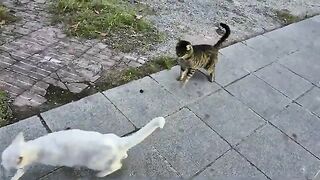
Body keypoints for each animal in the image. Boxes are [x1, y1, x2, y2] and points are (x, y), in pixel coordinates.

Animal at [0, 116, 165, 179]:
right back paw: (123, 154)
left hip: (95, 162)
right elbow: (22, 170)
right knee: (123, 155)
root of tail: (118, 141)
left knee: (116, 166)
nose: (1, 166)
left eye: (4, 165)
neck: (34, 147)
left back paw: (101, 174)